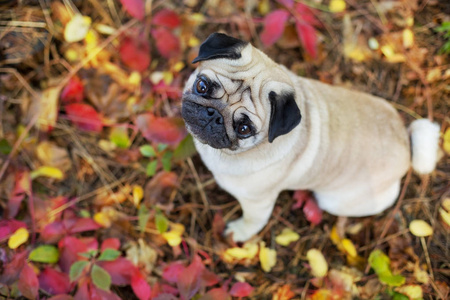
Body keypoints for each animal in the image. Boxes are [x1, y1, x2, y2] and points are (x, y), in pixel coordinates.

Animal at [180, 32, 440, 241]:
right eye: (202, 86)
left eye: (244, 129)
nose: (213, 115)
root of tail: (406, 142)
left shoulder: (257, 203)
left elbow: (252, 222)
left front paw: (238, 233)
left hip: (333, 200)